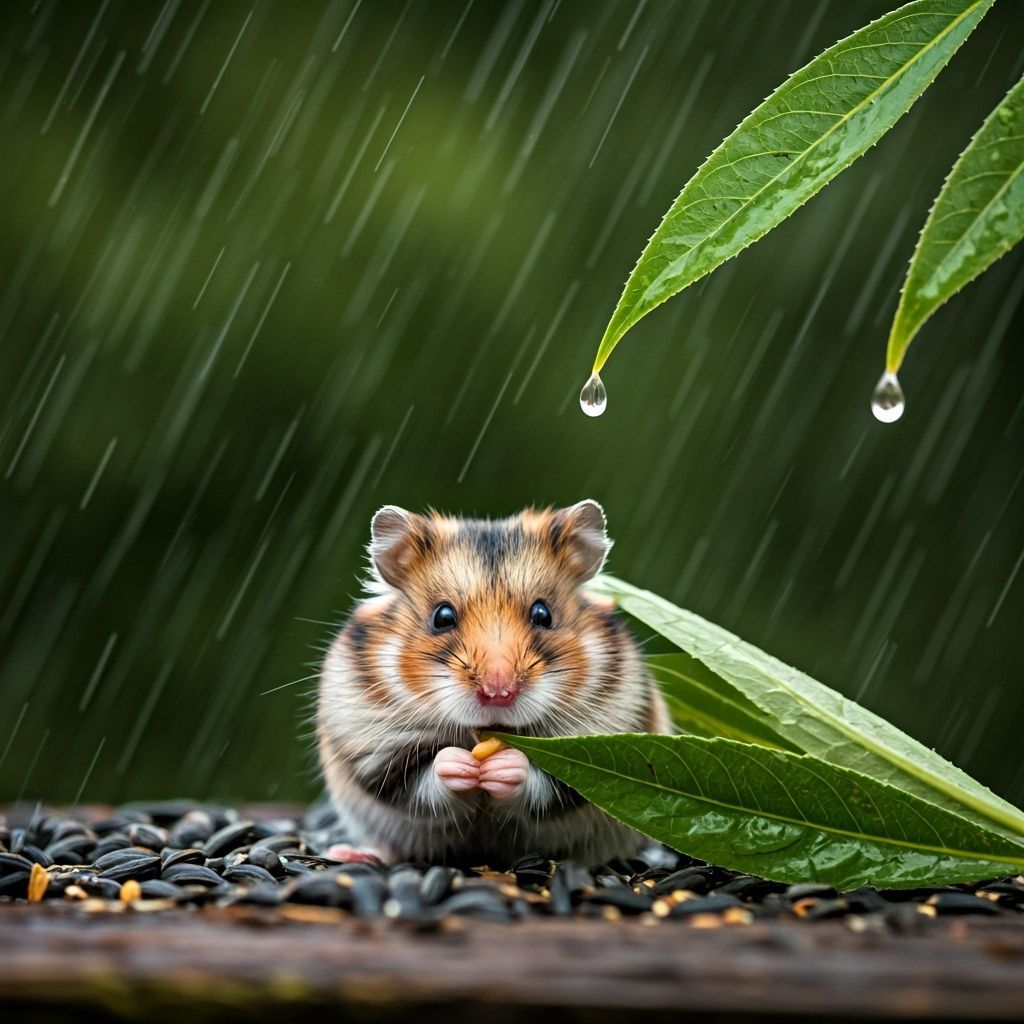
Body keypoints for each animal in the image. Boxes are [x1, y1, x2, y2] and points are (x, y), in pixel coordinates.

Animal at [316, 499, 672, 866]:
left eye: (543, 614)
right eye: (442, 617)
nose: (498, 693)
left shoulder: (604, 726)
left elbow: (545, 781)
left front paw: (504, 767)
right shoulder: (375, 747)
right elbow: (418, 778)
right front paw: (458, 765)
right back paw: (352, 854)